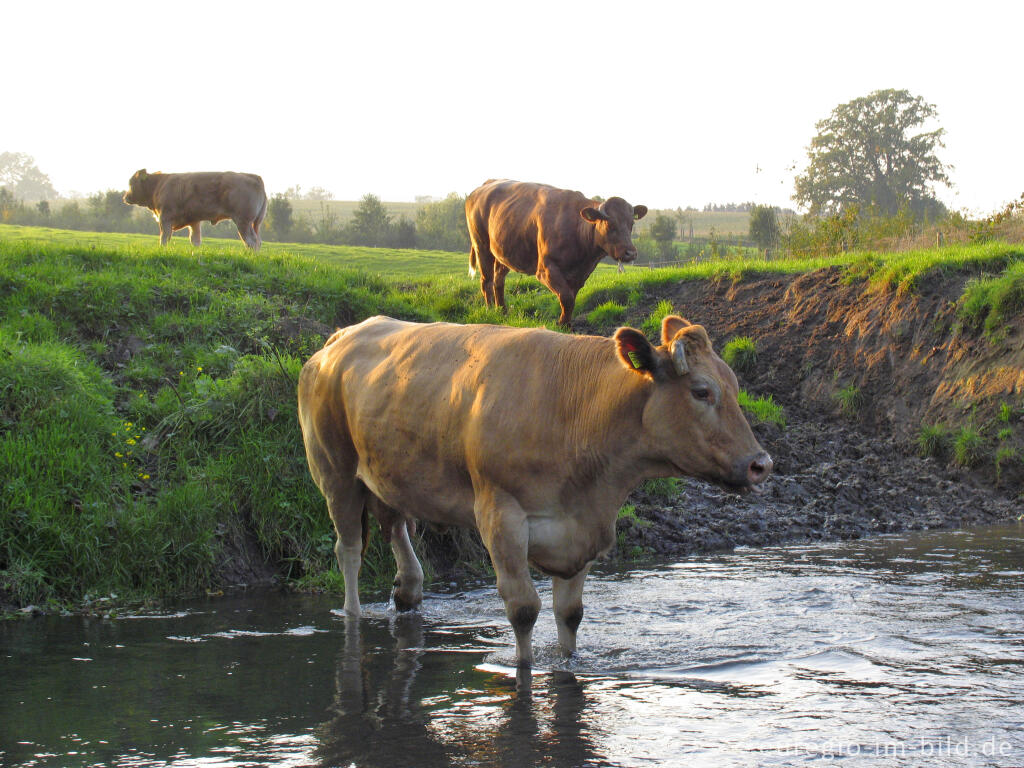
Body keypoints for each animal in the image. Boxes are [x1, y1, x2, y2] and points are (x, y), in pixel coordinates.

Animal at [122, 171, 268, 249]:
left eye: (131, 183)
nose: (125, 197)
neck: (159, 185)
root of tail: (255, 177)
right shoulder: (194, 221)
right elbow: (195, 240)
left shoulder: (165, 218)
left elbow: (164, 238)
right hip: (254, 223)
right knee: (258, 241)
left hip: (243, 221)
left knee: (251, 241)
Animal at [296, 315, 770, 663]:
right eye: (701, 391)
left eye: (736, 388)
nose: (760, 464)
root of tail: (341, 337)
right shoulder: (501, 515)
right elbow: (523, 610)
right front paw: (525, 666)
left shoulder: (584, 526)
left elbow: (570, 614)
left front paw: (567, 659)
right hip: (334, 472)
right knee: (348, 551)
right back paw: (353, 613)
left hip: (388, 473)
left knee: (395, 529)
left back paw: (408, 590)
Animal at [466, 180, 647, 325]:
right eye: (610, 224)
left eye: (631, 224)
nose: (630, 253)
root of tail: (485, 185)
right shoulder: (546, 269)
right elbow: (566, 297)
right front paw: (561, 324)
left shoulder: (579, 275)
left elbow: (571, 298)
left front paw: (566, 324)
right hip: (481, 245)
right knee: (486, 281)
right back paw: (490, 310)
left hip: (503, 252)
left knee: (498, 281)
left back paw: (502, 311)